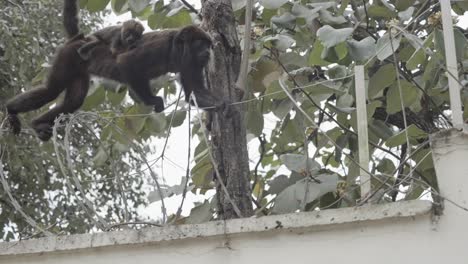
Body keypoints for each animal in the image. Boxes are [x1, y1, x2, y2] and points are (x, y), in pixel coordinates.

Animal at [6, 0, 226, 140]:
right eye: (201, 44)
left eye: (208, 45)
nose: (208, 51)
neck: (178, 49)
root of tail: (79, 38)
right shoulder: (158, 47)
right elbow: (126, 63)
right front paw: (153, 100)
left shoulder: (191, 63)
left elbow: (193, 92)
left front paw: (223, 105)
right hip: (67, 57)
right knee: (50, 91)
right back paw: (12, 110)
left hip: (79, 70)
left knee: (72, 102)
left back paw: (37, 124)